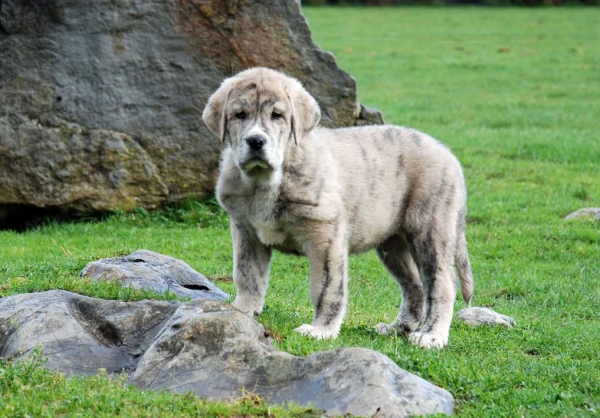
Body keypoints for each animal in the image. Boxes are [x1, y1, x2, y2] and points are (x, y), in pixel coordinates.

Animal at [203, 68, 474, 350]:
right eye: (239, 115)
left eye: (277, 115)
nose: (255, 141)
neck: (267, 181)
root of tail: (449, 156)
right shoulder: (246, 233)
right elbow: (247, 276)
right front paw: (241, 311)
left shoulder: (325, 236)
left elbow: (326, 288)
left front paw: (321, 330)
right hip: (392, 244)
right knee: (414, 285)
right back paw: (398, 328)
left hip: (430, 230)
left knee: (441, 284)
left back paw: (432, 335)